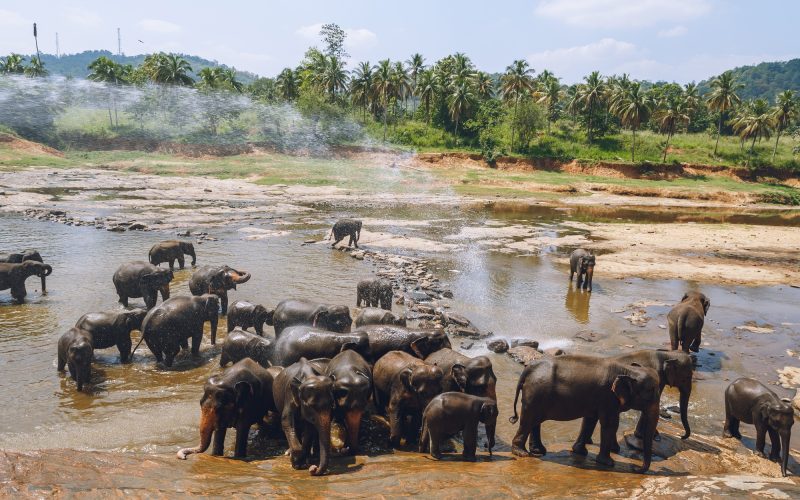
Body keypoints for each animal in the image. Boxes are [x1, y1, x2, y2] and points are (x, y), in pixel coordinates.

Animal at [509, 355, 661, 473]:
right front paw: (608, 463)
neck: (629, 370)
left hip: (538, 395)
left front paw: (580, 452)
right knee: (528, 420)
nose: (635, 468)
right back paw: (522, 453)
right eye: (651, 394)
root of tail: (529, 367)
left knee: (535, 421)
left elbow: (589, 420)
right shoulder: (608, 397)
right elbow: (610, 423)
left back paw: (538, 451)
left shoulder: (597, 399)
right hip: (535, 393)